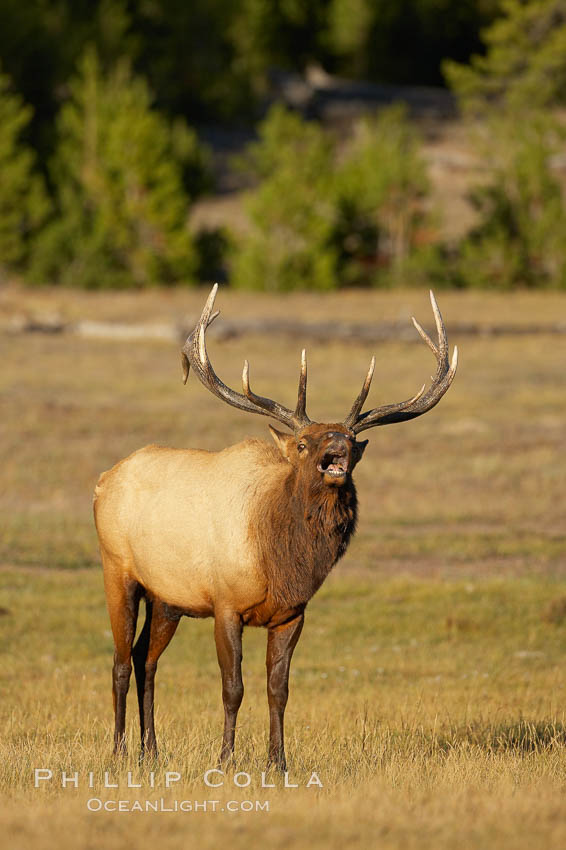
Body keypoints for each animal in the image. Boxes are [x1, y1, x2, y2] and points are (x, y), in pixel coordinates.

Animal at [93, 286, 458, 768]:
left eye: (350, 441)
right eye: (303, 443)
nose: (338, 444)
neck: (281, 561)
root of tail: (102, 481)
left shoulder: (292, 613)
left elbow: (278, 690)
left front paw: (278, 762)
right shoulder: (226, 604)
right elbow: (233, 688)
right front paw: (225, 760)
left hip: (167, 596)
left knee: (144, 659)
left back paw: (150, 751)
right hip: (117, 569)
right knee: (119, 660)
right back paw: (118, 752)